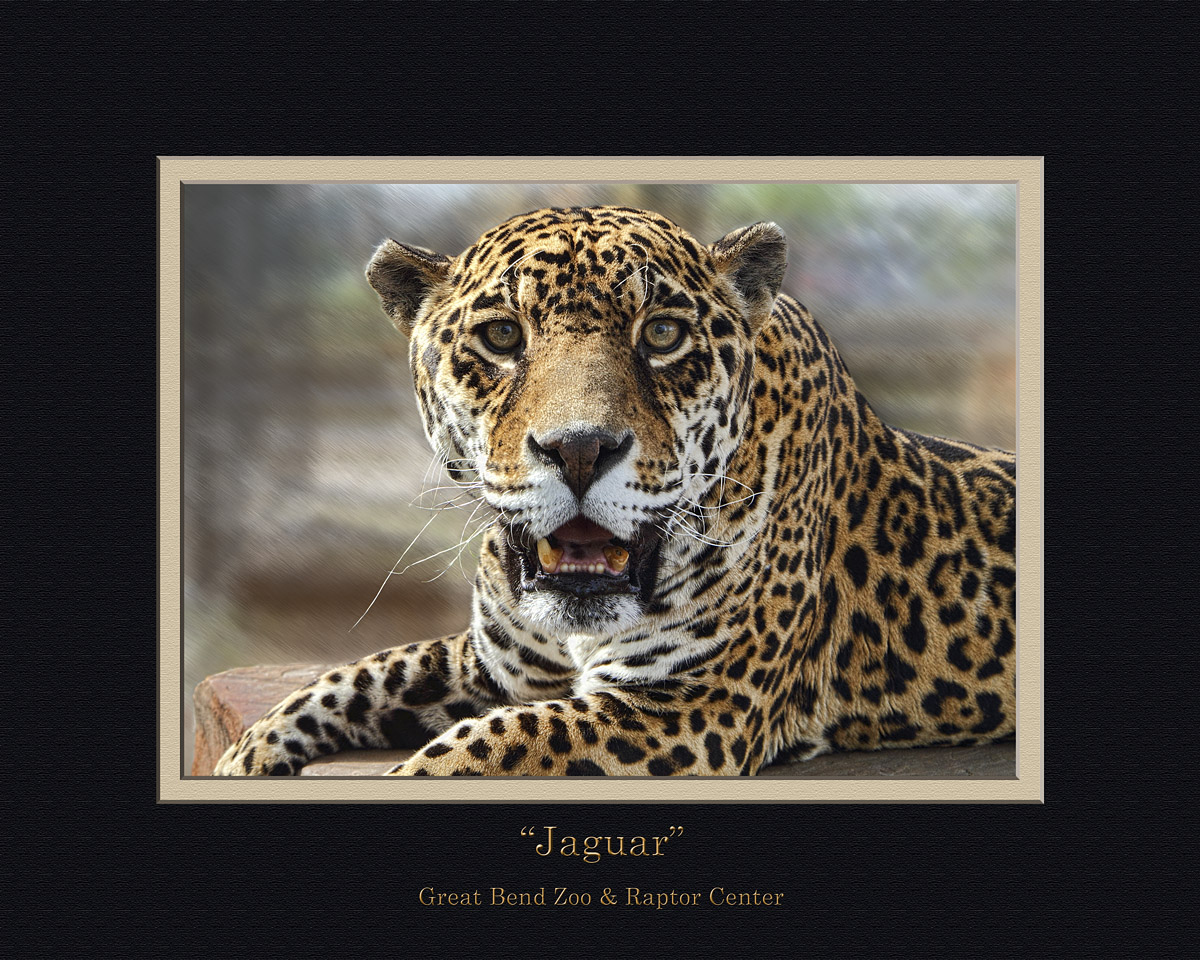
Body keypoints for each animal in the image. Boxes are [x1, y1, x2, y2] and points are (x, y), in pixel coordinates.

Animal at [213, 204, 1016, 777]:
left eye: (661, 334)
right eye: (501, 338)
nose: (578, 448)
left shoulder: (684, 705)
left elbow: (475, 752)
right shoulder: (495, 662)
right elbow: (353, 677)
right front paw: (245, 757)